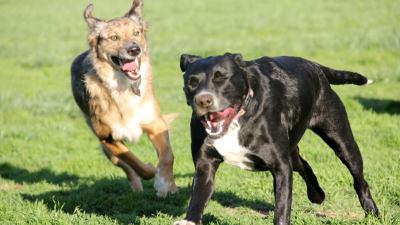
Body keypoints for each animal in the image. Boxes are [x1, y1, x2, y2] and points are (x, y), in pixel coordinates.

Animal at [70, 0, 177, 197]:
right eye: (114, 38)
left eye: (136, 33)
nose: (135, 49)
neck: (124, 87)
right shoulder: (107, 138)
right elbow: (133, 160)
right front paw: (151, 170)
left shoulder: (155, 123)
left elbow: (167, 155)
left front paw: (165, 183)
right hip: (107, 150)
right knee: (126, 166)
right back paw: (136, 187)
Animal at [174, 53, 378, 225]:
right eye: (192, 82)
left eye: (221, 77)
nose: (203, 100)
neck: (237, 119)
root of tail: (314, 65)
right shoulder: (205, 163)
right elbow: (198, 197)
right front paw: (190, 220)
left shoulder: (281, 167)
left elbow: (282, 207)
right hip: (292, 149)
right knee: (303, 164)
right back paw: (317, 194)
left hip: (341, 140)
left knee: (359, 179)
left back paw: (372, 212)